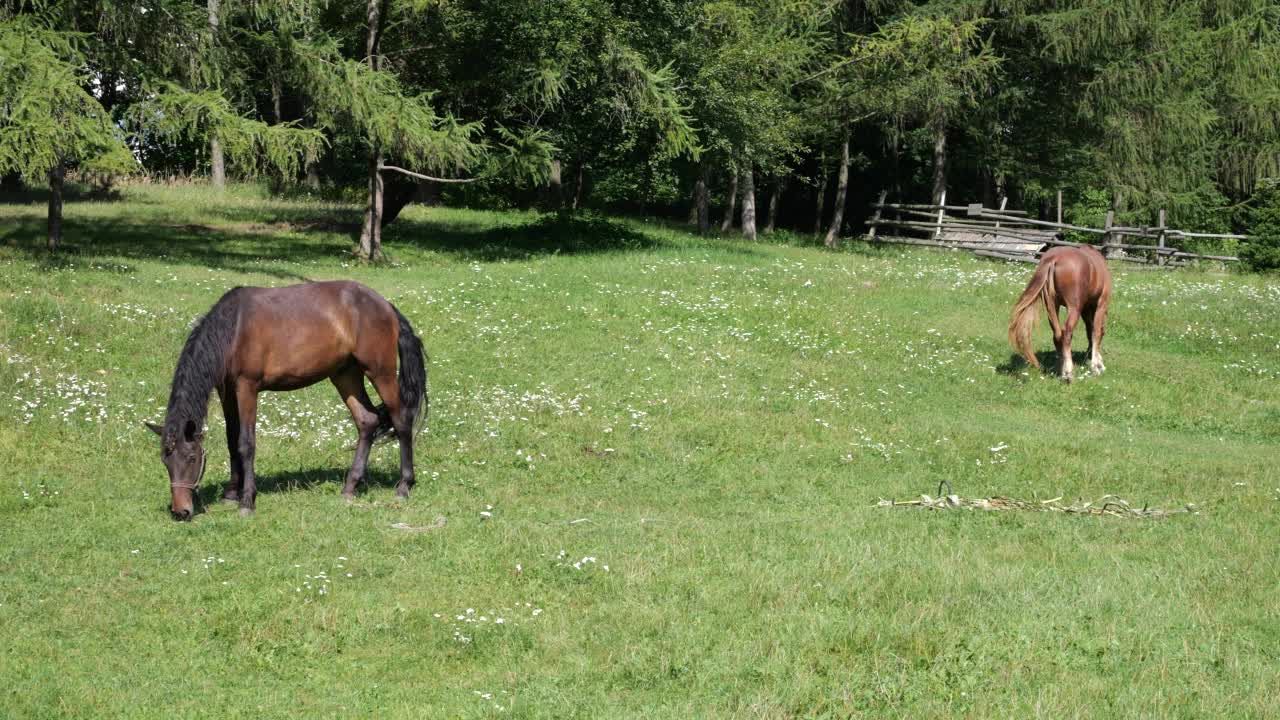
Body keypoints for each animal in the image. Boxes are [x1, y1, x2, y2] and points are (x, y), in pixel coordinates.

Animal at [143, 278, 427, 517]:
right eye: (165, 461)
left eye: (191, 458)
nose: (181, 511)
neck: (233, 329)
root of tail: (386, 306)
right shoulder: (227, 390)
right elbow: (231, 440)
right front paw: (231, 494)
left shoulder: (247, 387)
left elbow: (246, 443)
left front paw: (247, 502)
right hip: (345, 375)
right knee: (367, 421)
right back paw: (350, 488)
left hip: (380, 372)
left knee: (401, 420)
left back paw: (404, 486)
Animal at [1008, 244, 1111, 381]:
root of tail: (1054, 259)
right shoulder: (1100, 304)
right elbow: (1096, 332)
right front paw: (1097, 366)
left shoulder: (1085, 309)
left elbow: (1090, 331)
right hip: (1074, 308)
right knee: (1066, 332)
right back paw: (1068, 373)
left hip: (1052, 306)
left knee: (1057, 335)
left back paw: (1061, 371)